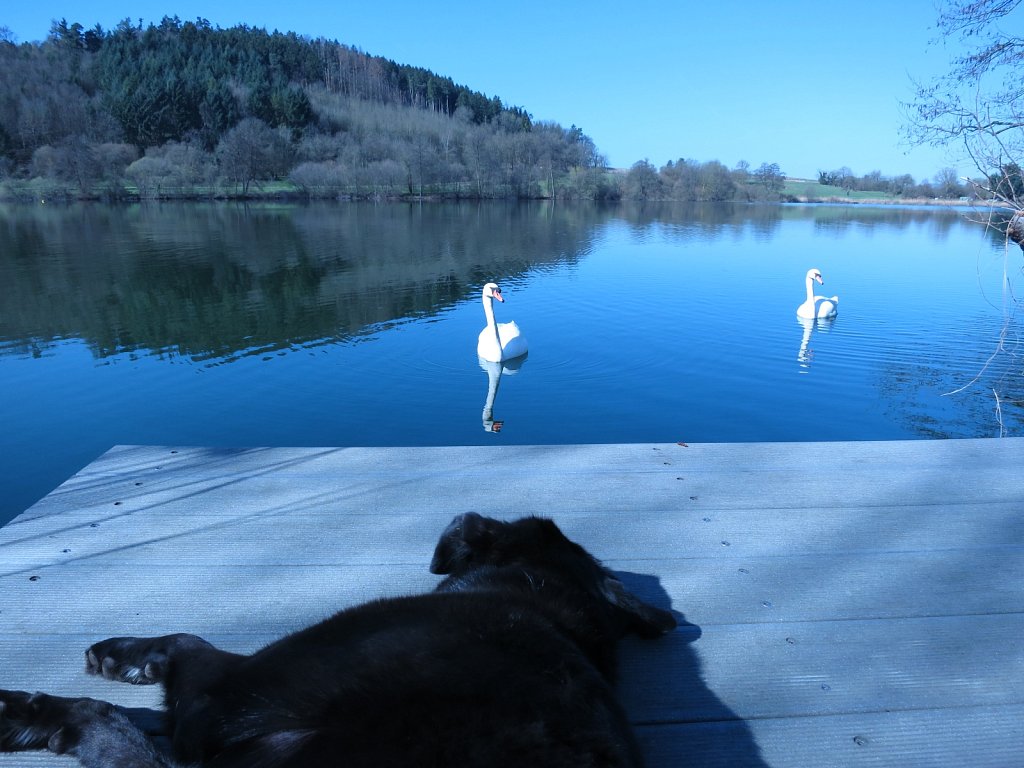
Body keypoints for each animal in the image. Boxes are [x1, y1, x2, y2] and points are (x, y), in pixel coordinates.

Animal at [0, 514, 675, 765]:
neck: (526, 593)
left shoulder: (221, 701)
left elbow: (188, 642)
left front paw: (118, 658)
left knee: (111, 727)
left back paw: (27, 713)